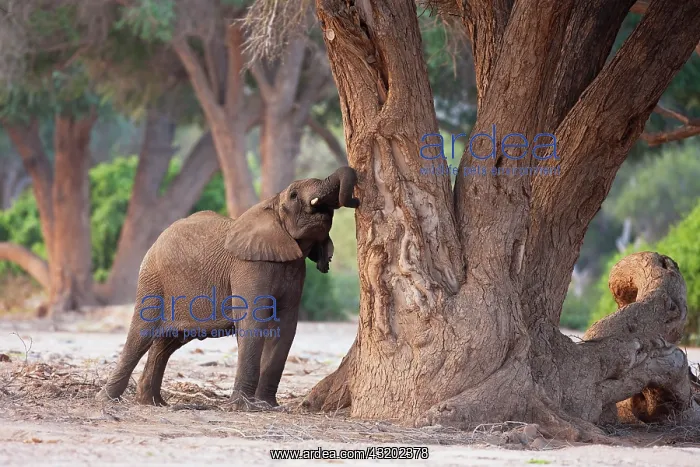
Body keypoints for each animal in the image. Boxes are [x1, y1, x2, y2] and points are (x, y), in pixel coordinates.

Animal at [96, 167, 359, 408]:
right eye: (294, 195)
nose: (355, 200)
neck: (270, 206)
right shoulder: (248, 266)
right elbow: (253, 322)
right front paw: (242, 407)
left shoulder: (295, 270)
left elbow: (285, 327)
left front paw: (266, 406)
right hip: (153, 279)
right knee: (142, 335)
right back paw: (107, 400)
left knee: (167, 342)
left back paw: (152, 403)